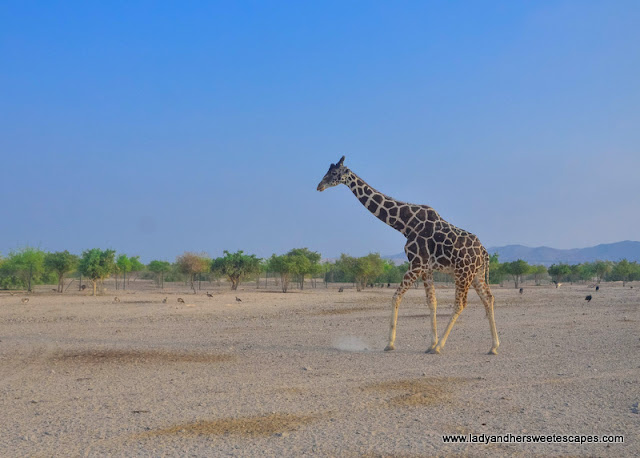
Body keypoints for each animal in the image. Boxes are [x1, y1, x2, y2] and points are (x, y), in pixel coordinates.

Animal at [318, 157, 500, 354]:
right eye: (327, 171)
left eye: (334, 173)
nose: (319, 186)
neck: (405, 224)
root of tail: (484, 252)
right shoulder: (426, 268)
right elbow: (432, 301)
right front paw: (430, 343)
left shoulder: (416, 263)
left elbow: (396, 297)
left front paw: (390, 344)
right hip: (476, 274)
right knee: (488, 298)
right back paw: (493, 346)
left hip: (463, 273)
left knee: (461, 303)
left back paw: (441, 347)